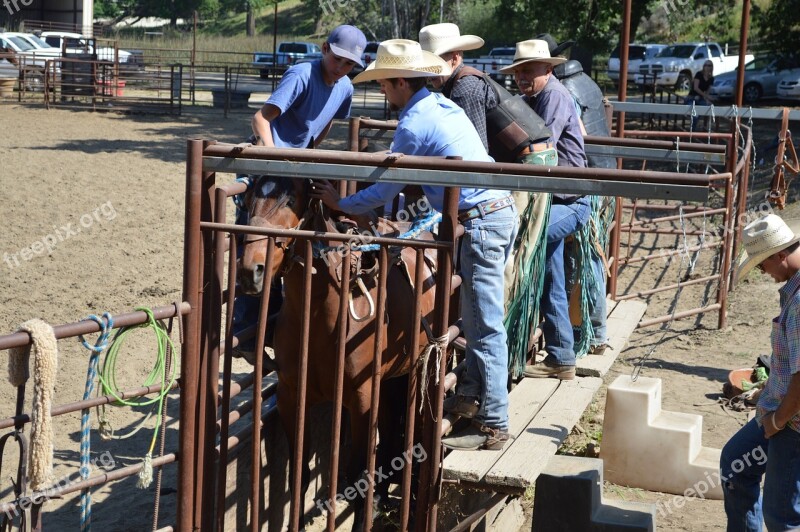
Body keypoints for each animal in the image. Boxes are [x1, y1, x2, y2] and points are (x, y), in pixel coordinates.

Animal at [238, 176, 438, 528]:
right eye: (247, 202)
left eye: (291, 201)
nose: (252, 271)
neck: (322, 314)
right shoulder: (292, 395)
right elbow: (299, 471)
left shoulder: (361, 399)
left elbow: (358, 471)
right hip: (389, 380)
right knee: (390, 429)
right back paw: (381, 498)